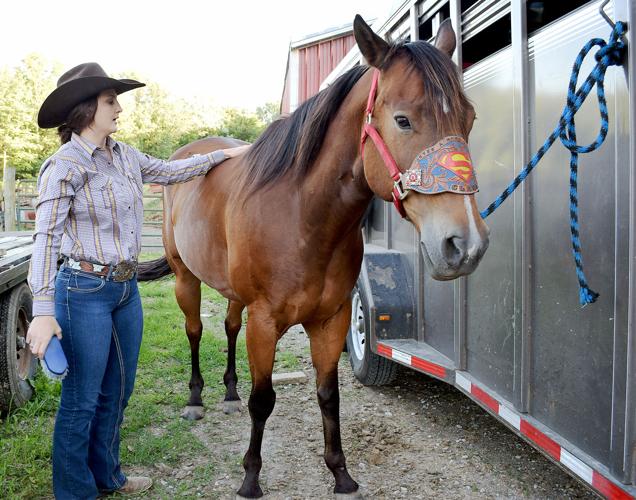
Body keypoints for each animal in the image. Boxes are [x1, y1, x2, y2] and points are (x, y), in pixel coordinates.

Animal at [138, 14, 486, 496]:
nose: (464, 244)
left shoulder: (330, 319)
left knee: (227, 328)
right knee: (194, 331)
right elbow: (263, 400)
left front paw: (341, 473)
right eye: (403, 120)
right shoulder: (265, 321)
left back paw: (228, 393)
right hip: (184, 277)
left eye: (469, 119)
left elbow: (328, 395)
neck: (303, 216)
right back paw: (196, 398)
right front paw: (250, 477)